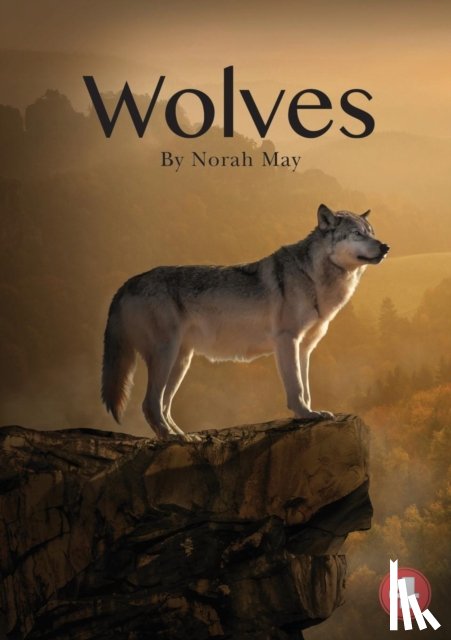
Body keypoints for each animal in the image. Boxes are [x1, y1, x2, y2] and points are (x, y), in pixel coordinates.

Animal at [101, 204, 389, 440]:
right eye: (357, 234)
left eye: (372, 232)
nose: (386, 247)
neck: (314, 277)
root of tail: (126, 284)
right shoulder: (287, 341)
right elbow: (296, 387)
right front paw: (305, 414)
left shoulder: (305, 348)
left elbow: (306, 387)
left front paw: (311, 412)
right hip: (166, 355)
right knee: (150, 404)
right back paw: (173, 439)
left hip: (181, 361)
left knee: (163, 405)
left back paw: (184, 436)